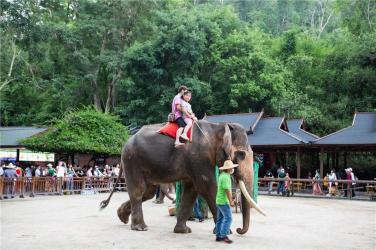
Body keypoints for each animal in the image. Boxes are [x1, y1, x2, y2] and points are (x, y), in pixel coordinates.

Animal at [100, 120, 264, 234]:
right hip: (132, 160)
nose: (239, 230)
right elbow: (207, 186)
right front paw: (226, 232)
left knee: (148, 192)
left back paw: (122, 216)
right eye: (241, 155)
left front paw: (183, 231)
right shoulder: (199, 157)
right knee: (138, 191)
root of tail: (126, 142)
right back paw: (140, 228)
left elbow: (192, 190)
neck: (218, 126)